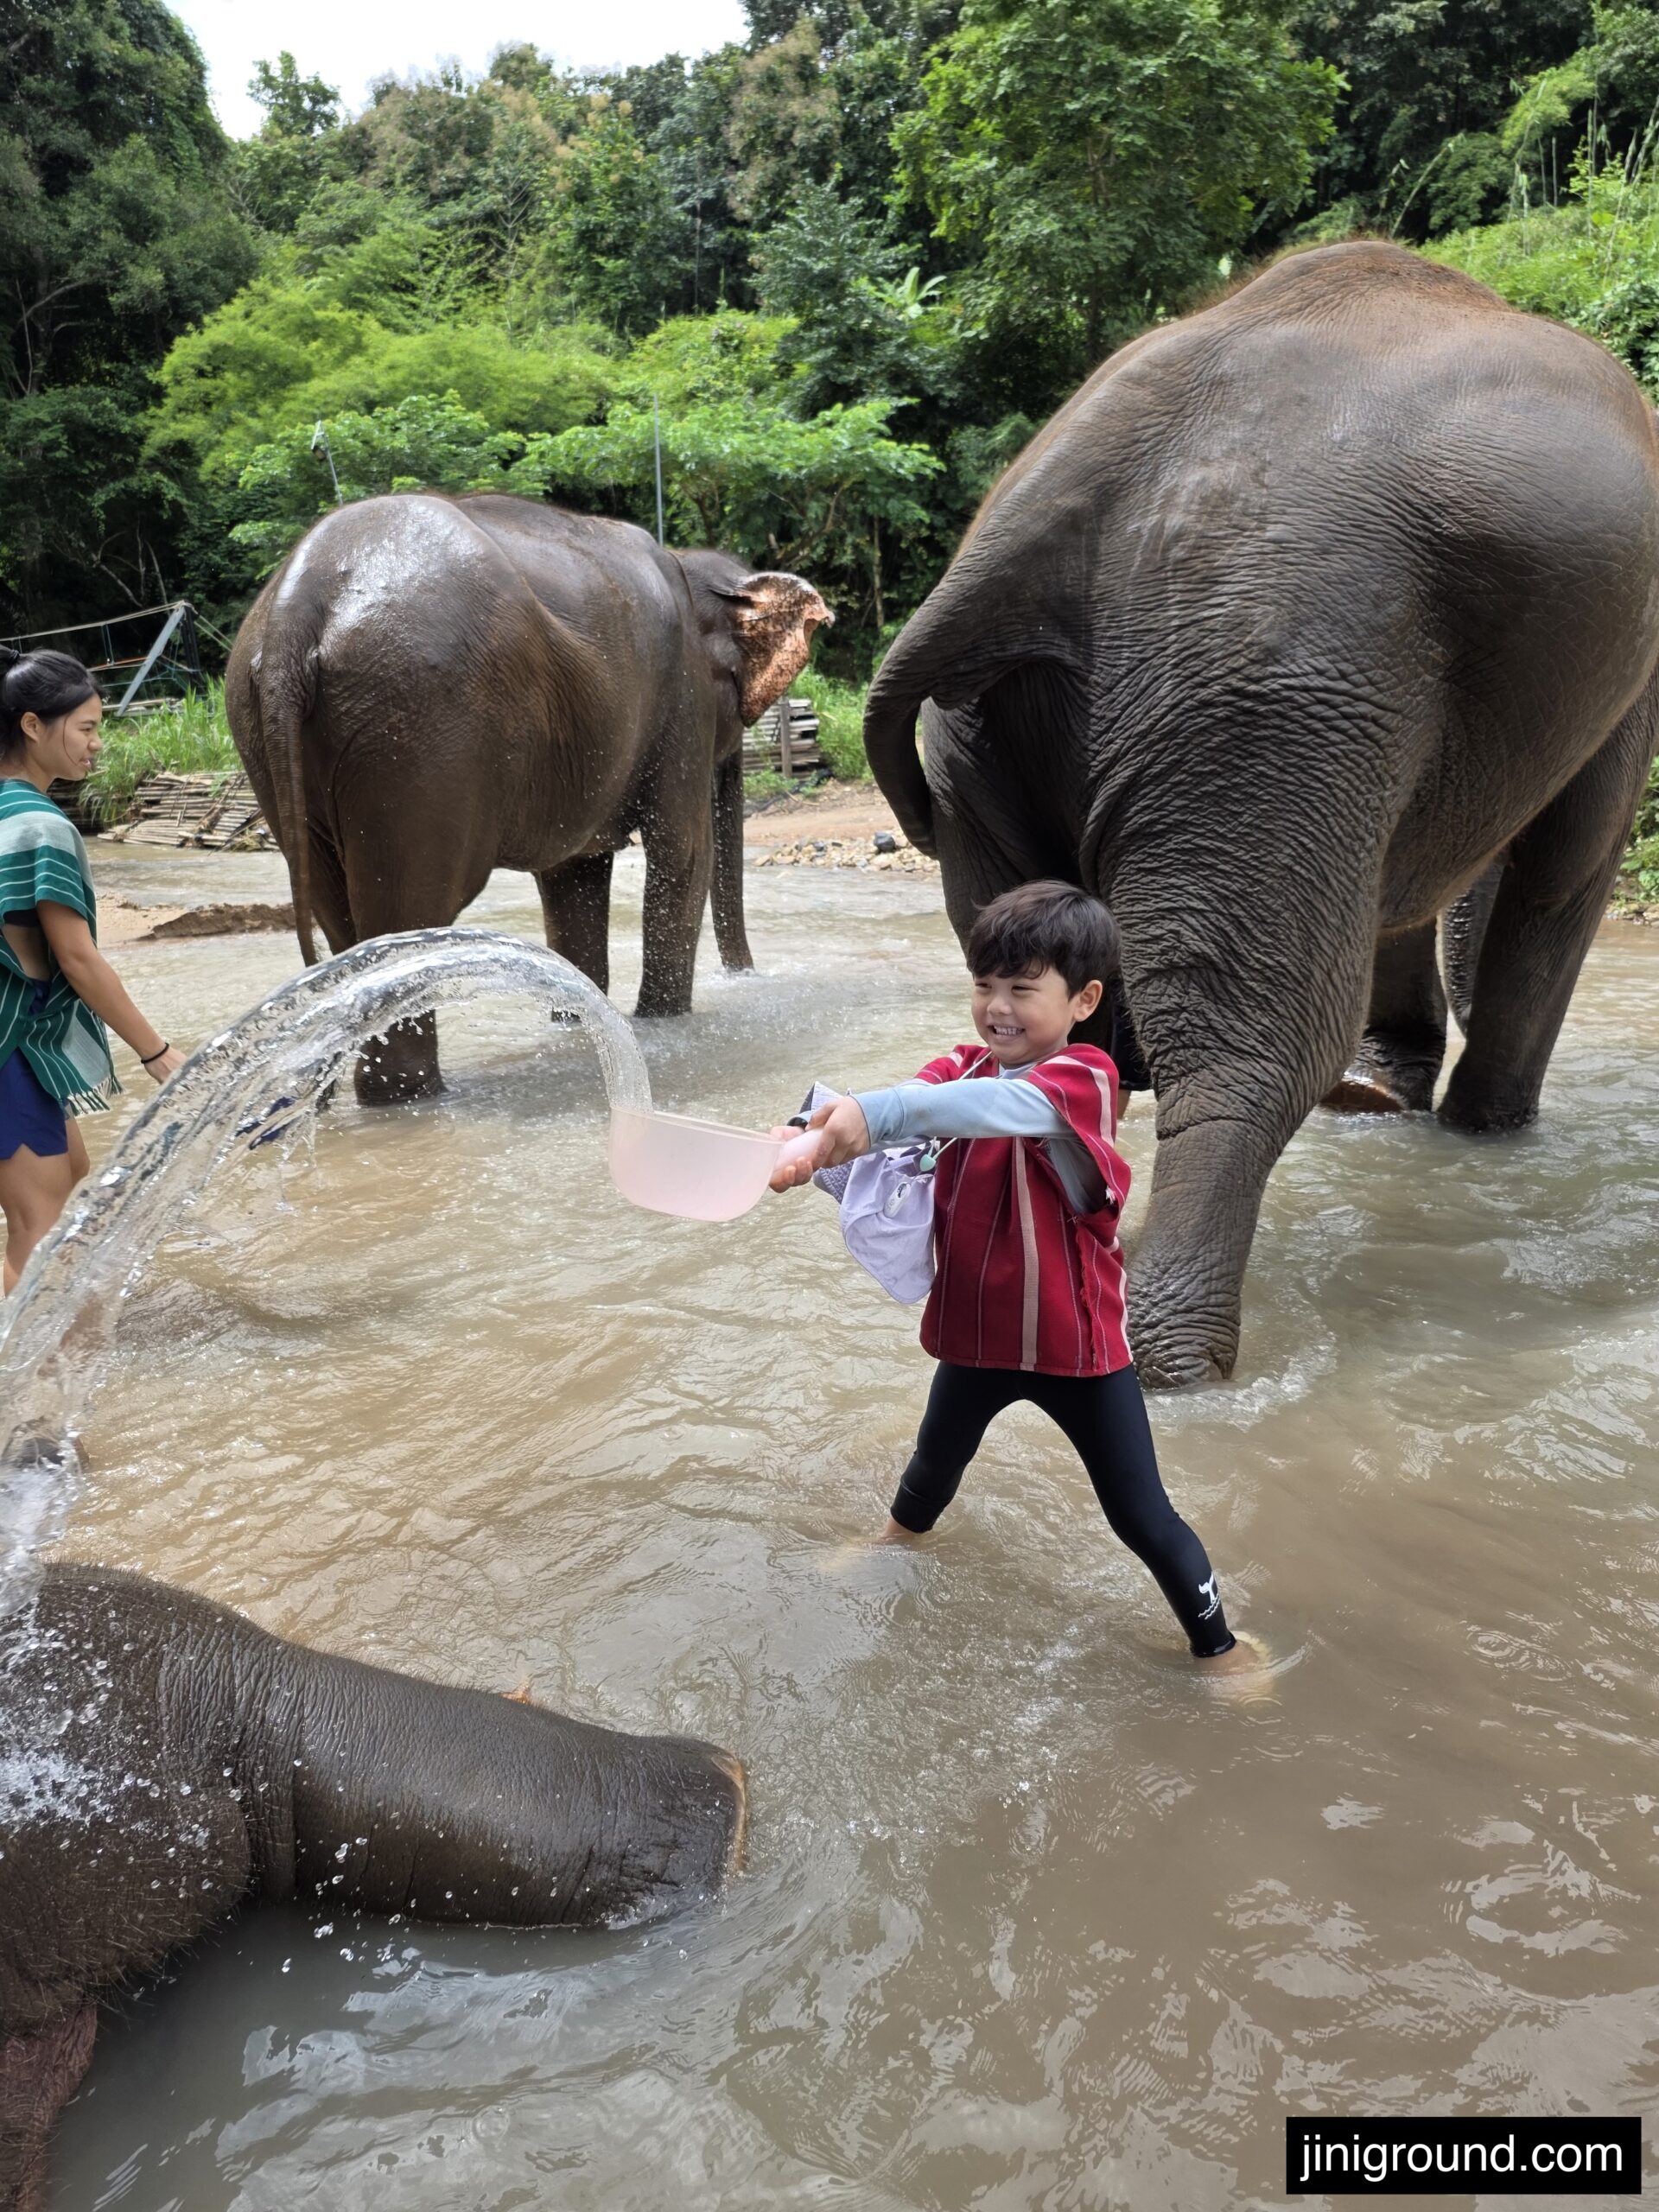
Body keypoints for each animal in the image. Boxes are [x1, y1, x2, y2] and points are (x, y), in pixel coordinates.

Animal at [226, 496, 831, 1102]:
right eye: (735, 682)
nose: (744, 975)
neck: (689, 568)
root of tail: (291, 617)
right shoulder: (682, 698)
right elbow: (682, 852)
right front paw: (661, 1025)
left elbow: (574, 876)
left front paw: (574, 1028)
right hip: (419, 732)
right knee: (410, 907)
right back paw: (415, 1096)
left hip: (272, 731)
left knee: (341, 912)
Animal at [863, 241, 1659, 1387]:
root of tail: (1033, 510)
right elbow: (1570, 859)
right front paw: (1483, 1134)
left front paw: (1388, 1100)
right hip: (1263, 689)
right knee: (1248, 1047)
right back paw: (1170, 1363)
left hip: (991, 739)